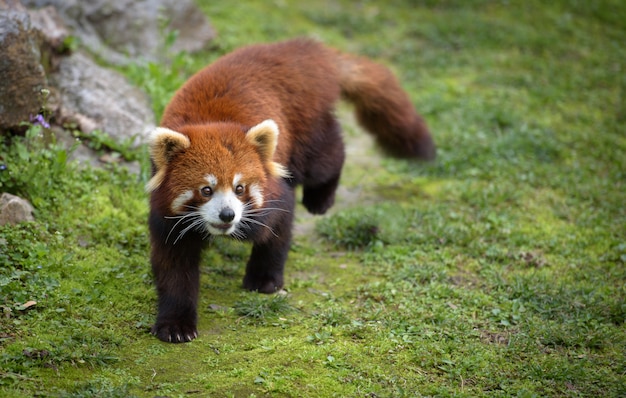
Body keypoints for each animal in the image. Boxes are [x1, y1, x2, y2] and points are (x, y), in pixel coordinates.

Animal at [146, 38, 434, 342]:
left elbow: (277, 230)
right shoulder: (168, 217)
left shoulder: (275, 191)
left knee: (329, 156)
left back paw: (321, 198)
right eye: (206, 190)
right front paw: (175, 324)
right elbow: (175, 268)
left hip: (305, 125)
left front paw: (264, 279)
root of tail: (300, 47)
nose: (228, 215)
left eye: (239, 188)